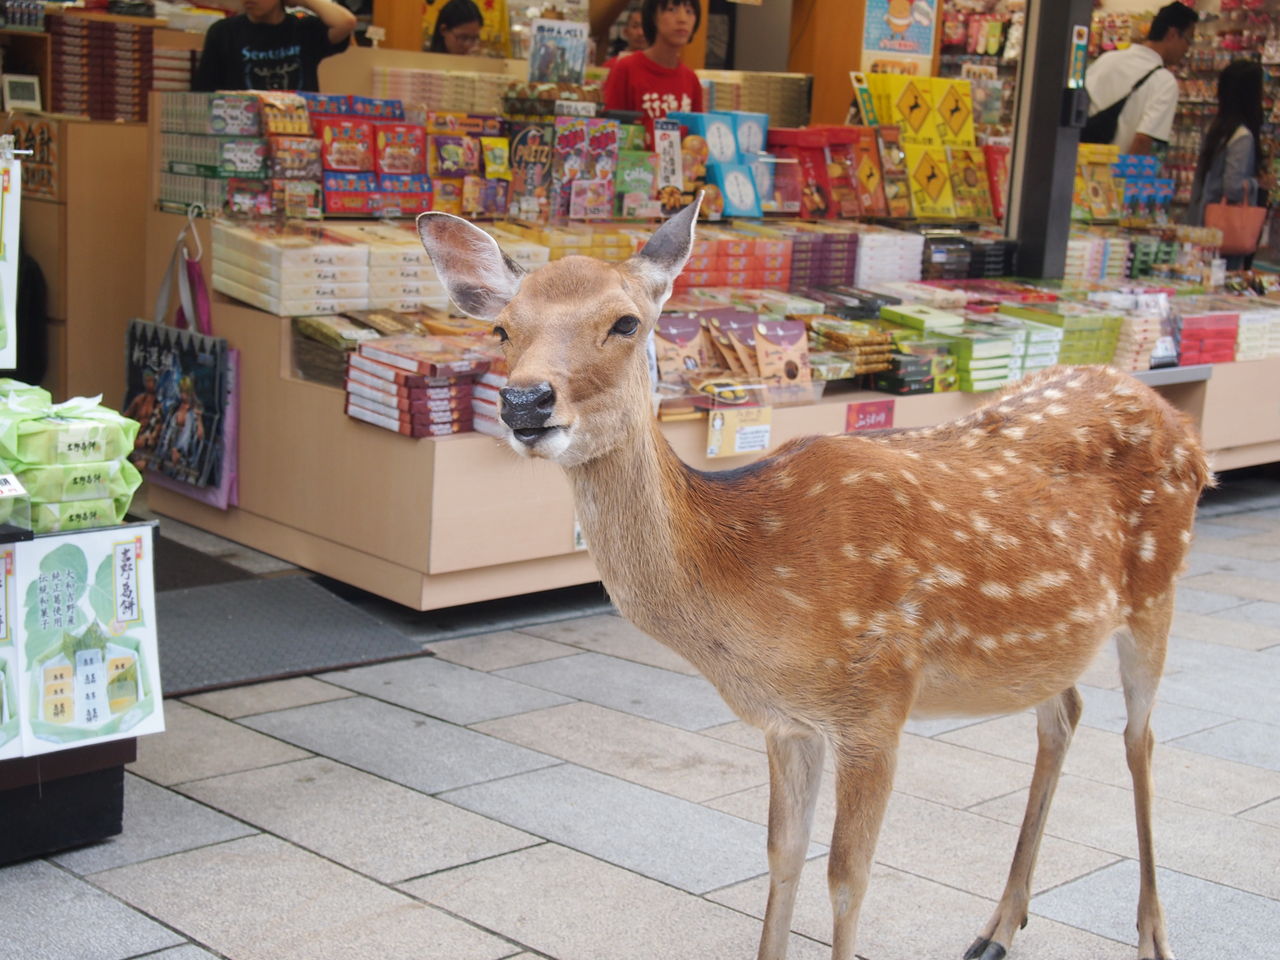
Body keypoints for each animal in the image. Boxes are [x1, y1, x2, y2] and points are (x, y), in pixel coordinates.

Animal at [417, 197, 1210, 960]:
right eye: (502, 329)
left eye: (626, 321)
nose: (524, 403)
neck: (752, 568)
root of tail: (1183, 428)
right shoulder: (788, 722)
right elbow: (782, 856)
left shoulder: (878, 704)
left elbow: (848, 879)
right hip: (1048, 641)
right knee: (1065, 712)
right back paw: (997, 928)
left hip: (1158, 587)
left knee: (1140, 738)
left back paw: (1153, 937)